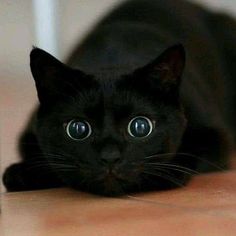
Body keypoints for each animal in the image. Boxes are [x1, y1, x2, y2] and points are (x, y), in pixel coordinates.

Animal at [3, 0, 236, 195]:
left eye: (140, 127)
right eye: (77, 129)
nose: (110, 157)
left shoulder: (216, 135)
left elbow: (191, 151)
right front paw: (21, 173)